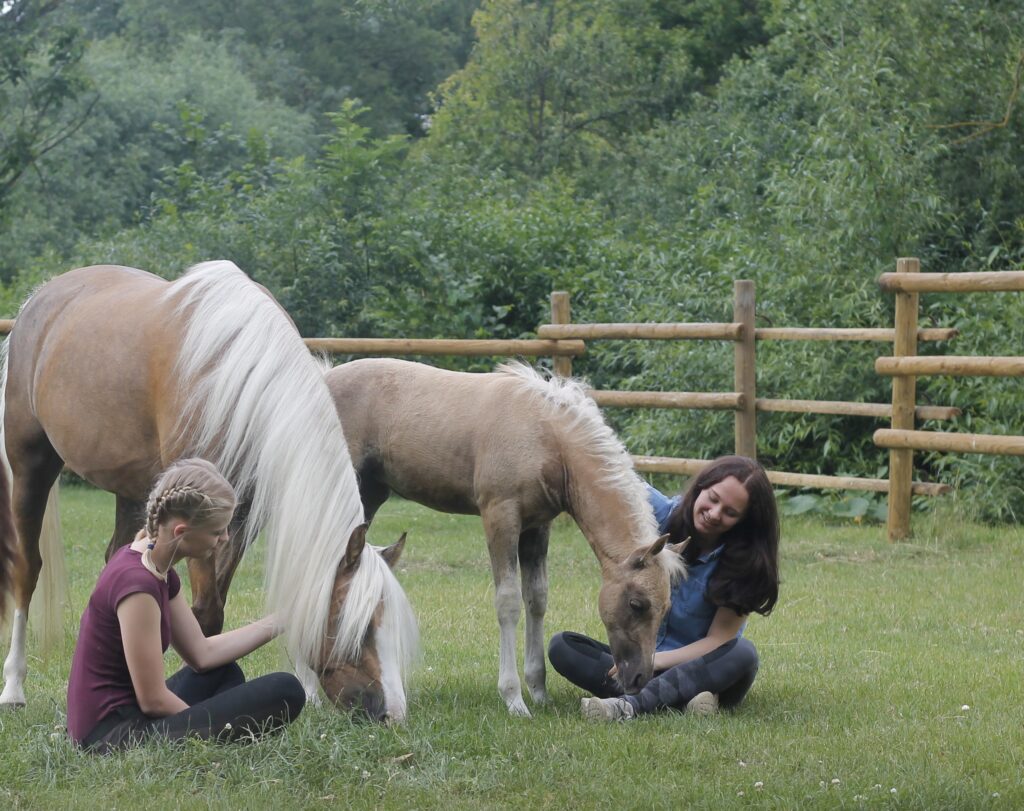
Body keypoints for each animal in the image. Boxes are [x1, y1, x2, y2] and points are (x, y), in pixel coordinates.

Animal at [0, 262, 419, 722]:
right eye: (359, 628)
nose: (393, 713)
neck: (236, 379)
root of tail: (39, 299)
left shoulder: (240, 522)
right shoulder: (197, 521)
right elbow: (206, 614)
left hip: (133, 489)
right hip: (31, 465)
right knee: (26, 570)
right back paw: (14, 687)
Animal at [322, 357, 687, 717]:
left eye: (667, 607)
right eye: (637, 604)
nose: (639, 677)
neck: (546, 436)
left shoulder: (537, 527)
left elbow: (537, 598)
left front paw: (538, 691)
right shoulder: (501, 517)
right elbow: (508, 602)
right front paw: (513, 698)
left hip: (370, 494)